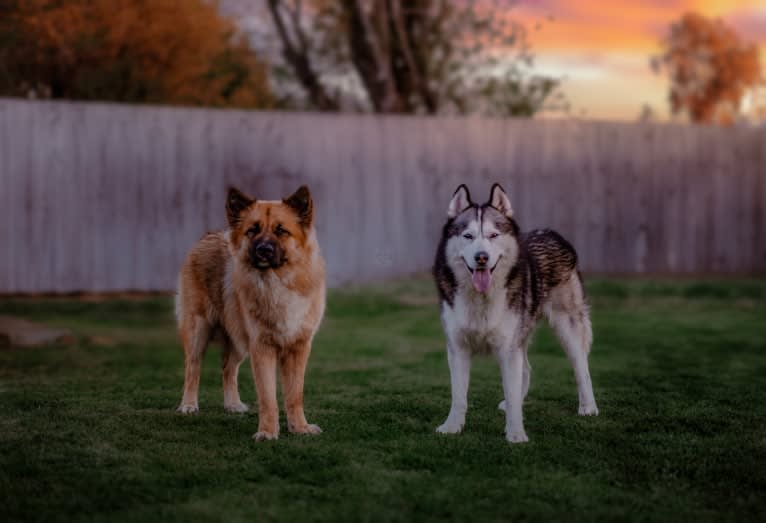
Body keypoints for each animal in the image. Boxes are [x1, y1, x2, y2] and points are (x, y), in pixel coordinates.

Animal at [176, 185, 326, 442]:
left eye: (281, 231)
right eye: (252, 231)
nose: (263, 250)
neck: (277, 283)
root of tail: (208, 235)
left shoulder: (297, 348)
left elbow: (295, 395)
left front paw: (300, 428)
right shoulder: (261, 348)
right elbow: (268, 397)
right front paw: (267, 432)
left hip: (238, 341)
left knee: (228, 368)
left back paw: (232, 404)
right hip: (199, 330)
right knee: (192, 368)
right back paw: (188, 405)